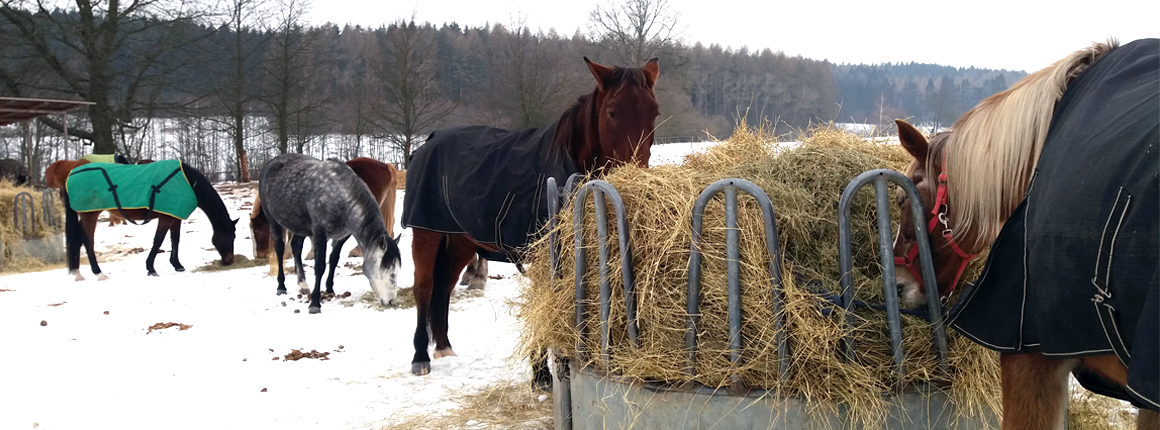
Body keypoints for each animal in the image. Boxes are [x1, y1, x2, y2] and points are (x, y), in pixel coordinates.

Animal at [63, 161, 237, 279]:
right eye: (231, 236)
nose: (230, 260)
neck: (188, 182)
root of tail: (72, 173)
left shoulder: (175, 218)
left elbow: (175, 240)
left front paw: (177, 265)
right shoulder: (166, 218)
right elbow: (158, 240)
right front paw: (151, 268)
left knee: (78, 240)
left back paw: (78, 274)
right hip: (90, 214)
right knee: (87, 241)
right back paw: (98, 273)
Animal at [261, 154, 406, 312]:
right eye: (385, 268)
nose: (391, 301)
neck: (339, 195)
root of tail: (271, 162)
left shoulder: (342, 236)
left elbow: (333, 259)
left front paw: (329, 288)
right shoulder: (319, 233)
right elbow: (320, 266)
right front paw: (315, 304)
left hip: (300, 224)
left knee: (296, 247)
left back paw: (303, 285)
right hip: (273, 221)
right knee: (280, 249)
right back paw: (281, 286)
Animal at [401, 57, 663, 384]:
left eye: (654, 112)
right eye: (612, 112)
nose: (637, 177)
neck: (566, 160)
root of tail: (430, 141)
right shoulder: (541, 253)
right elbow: (544, 301)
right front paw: (541, 376)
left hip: (461, 240)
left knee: (444, 285)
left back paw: (444, 347)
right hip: (427, 231)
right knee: (424, 286)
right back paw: (420, 357)